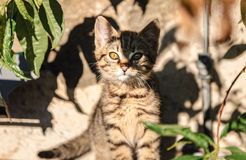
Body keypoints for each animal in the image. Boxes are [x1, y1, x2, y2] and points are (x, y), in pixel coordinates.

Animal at [38, 15, 161, 160]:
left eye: (137, 55)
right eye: (113, 55)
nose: (124, 67)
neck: (127, 93)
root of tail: (90, 127)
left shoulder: (150, 128)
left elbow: (149, 155)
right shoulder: (114, 132)